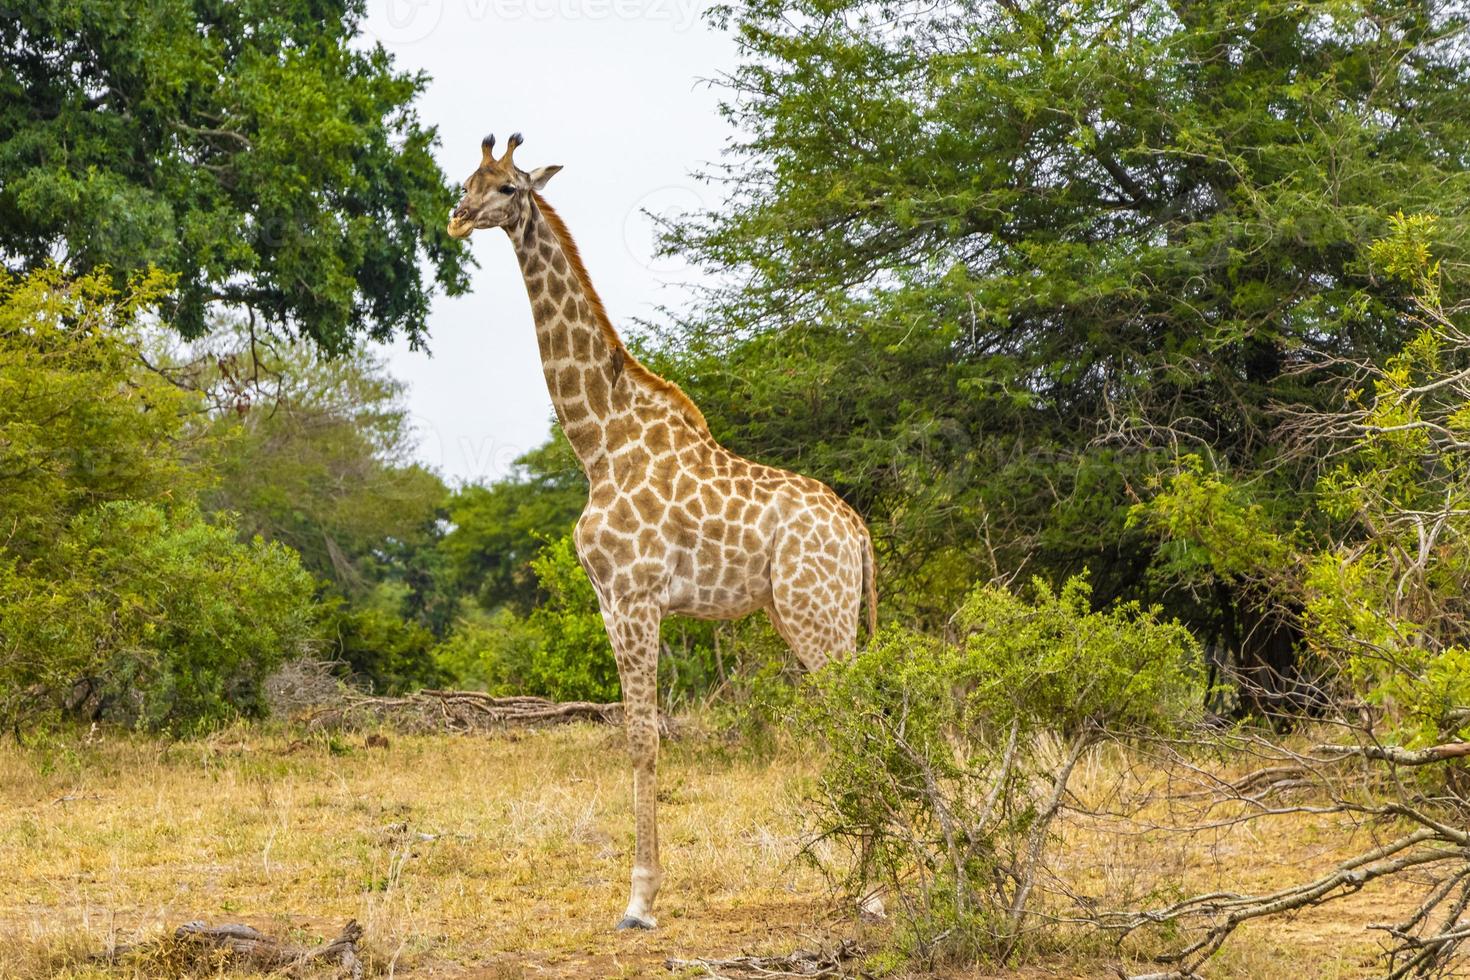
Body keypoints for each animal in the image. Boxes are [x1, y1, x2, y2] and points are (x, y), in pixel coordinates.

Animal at [441, 134, 864, 934]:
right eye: (467, 179)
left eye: (509, 186)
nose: (456, 218)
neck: (600, 441)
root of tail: (858, 533)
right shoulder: (611, 601)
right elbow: (636, 734)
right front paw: (645, 891)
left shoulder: (637, 595)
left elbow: (643, 737)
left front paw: (639, 901)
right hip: (819, 617)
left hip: (815, 615)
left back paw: (879, 890)